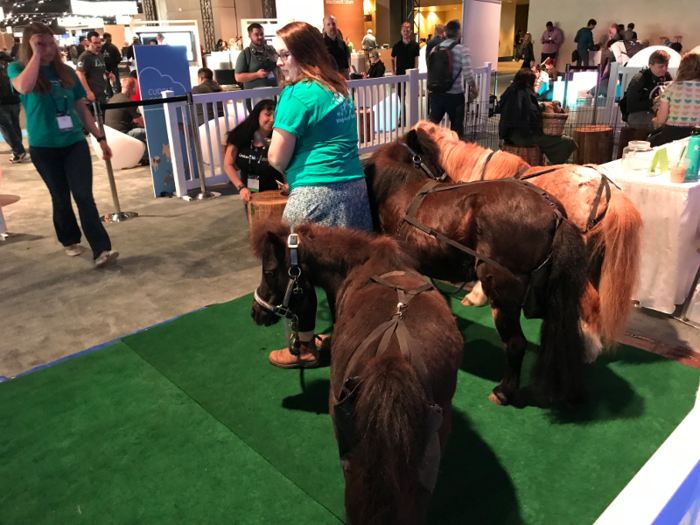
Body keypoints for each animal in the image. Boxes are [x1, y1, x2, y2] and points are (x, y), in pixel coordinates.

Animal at [364, 129, 592, 408]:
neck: (398, 189)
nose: (446, 179)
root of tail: (554, 213)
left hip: (503, 290)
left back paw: (504, 392)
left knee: (515, 343)